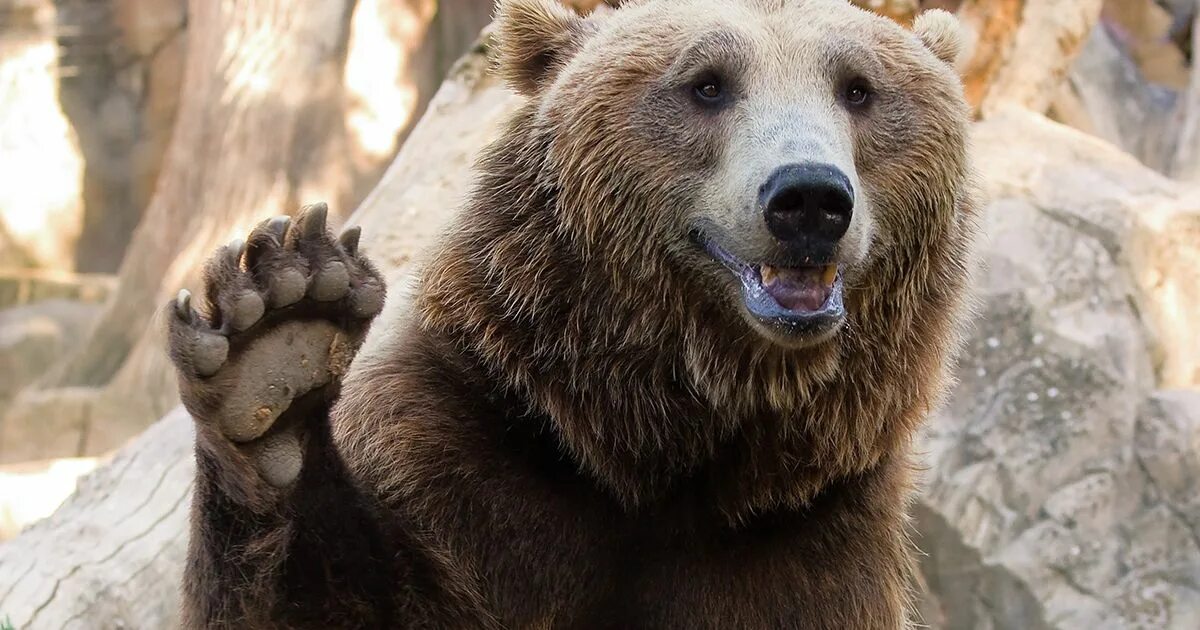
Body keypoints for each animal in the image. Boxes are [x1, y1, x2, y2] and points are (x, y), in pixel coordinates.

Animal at [166, 0, 974, 624]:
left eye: (858, 89)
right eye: (707, 85)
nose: (808, 198)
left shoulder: (808, 536)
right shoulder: (468, 454)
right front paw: (277, 341)